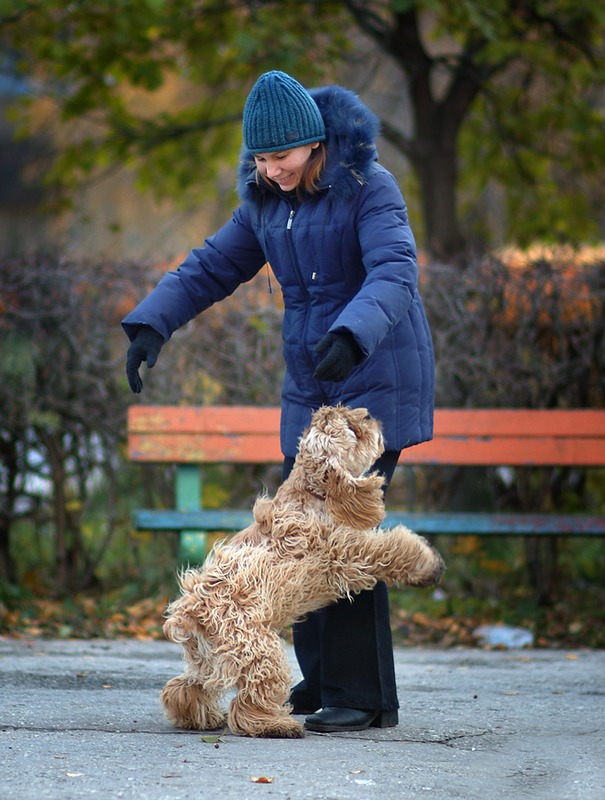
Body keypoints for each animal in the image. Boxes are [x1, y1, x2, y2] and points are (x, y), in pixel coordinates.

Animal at [160, 406, 444, 736]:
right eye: (353, 430)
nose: (370, 416)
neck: (312, 493)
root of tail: (190, 612)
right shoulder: (347, 553)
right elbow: (392, 548)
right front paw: (428, 565)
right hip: (259, 650)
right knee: (249, 701)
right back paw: (276, 724)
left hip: (207, 658)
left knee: (184, 687)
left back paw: (200, 717)